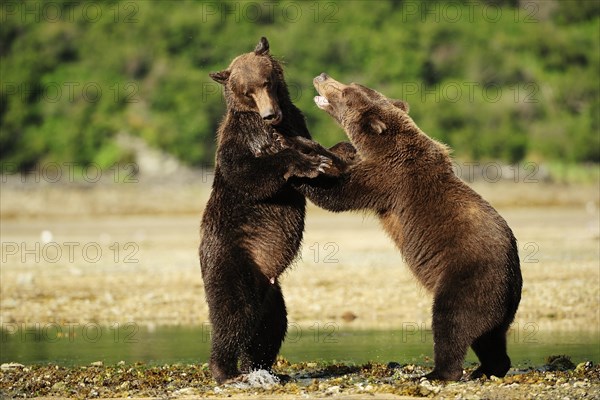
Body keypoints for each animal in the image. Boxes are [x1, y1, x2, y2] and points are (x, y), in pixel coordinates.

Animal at [199, 38, 354, 384]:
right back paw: (225, 369)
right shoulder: (243, 138)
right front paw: (310, 163)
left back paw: (259, 366)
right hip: (231, 258)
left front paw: (341, 152)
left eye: (266, 82)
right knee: (233, 313)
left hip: (270, 292)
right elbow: (248, 172)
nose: (270, 115)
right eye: (247, 91)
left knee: (271, 326)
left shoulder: (297, 122)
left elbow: (318, 145)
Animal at [284, 74, 524, 382]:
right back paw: (487, 368)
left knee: (452, 323)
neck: (385, 144)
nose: (323, 77)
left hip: (468, 279)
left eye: (347, 92)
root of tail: (512, 279)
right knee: (490, 337)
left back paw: (437, 373)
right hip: (499, 302)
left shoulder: (388, 178)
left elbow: (339, 194)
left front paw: (300, 172)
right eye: (350, 84)